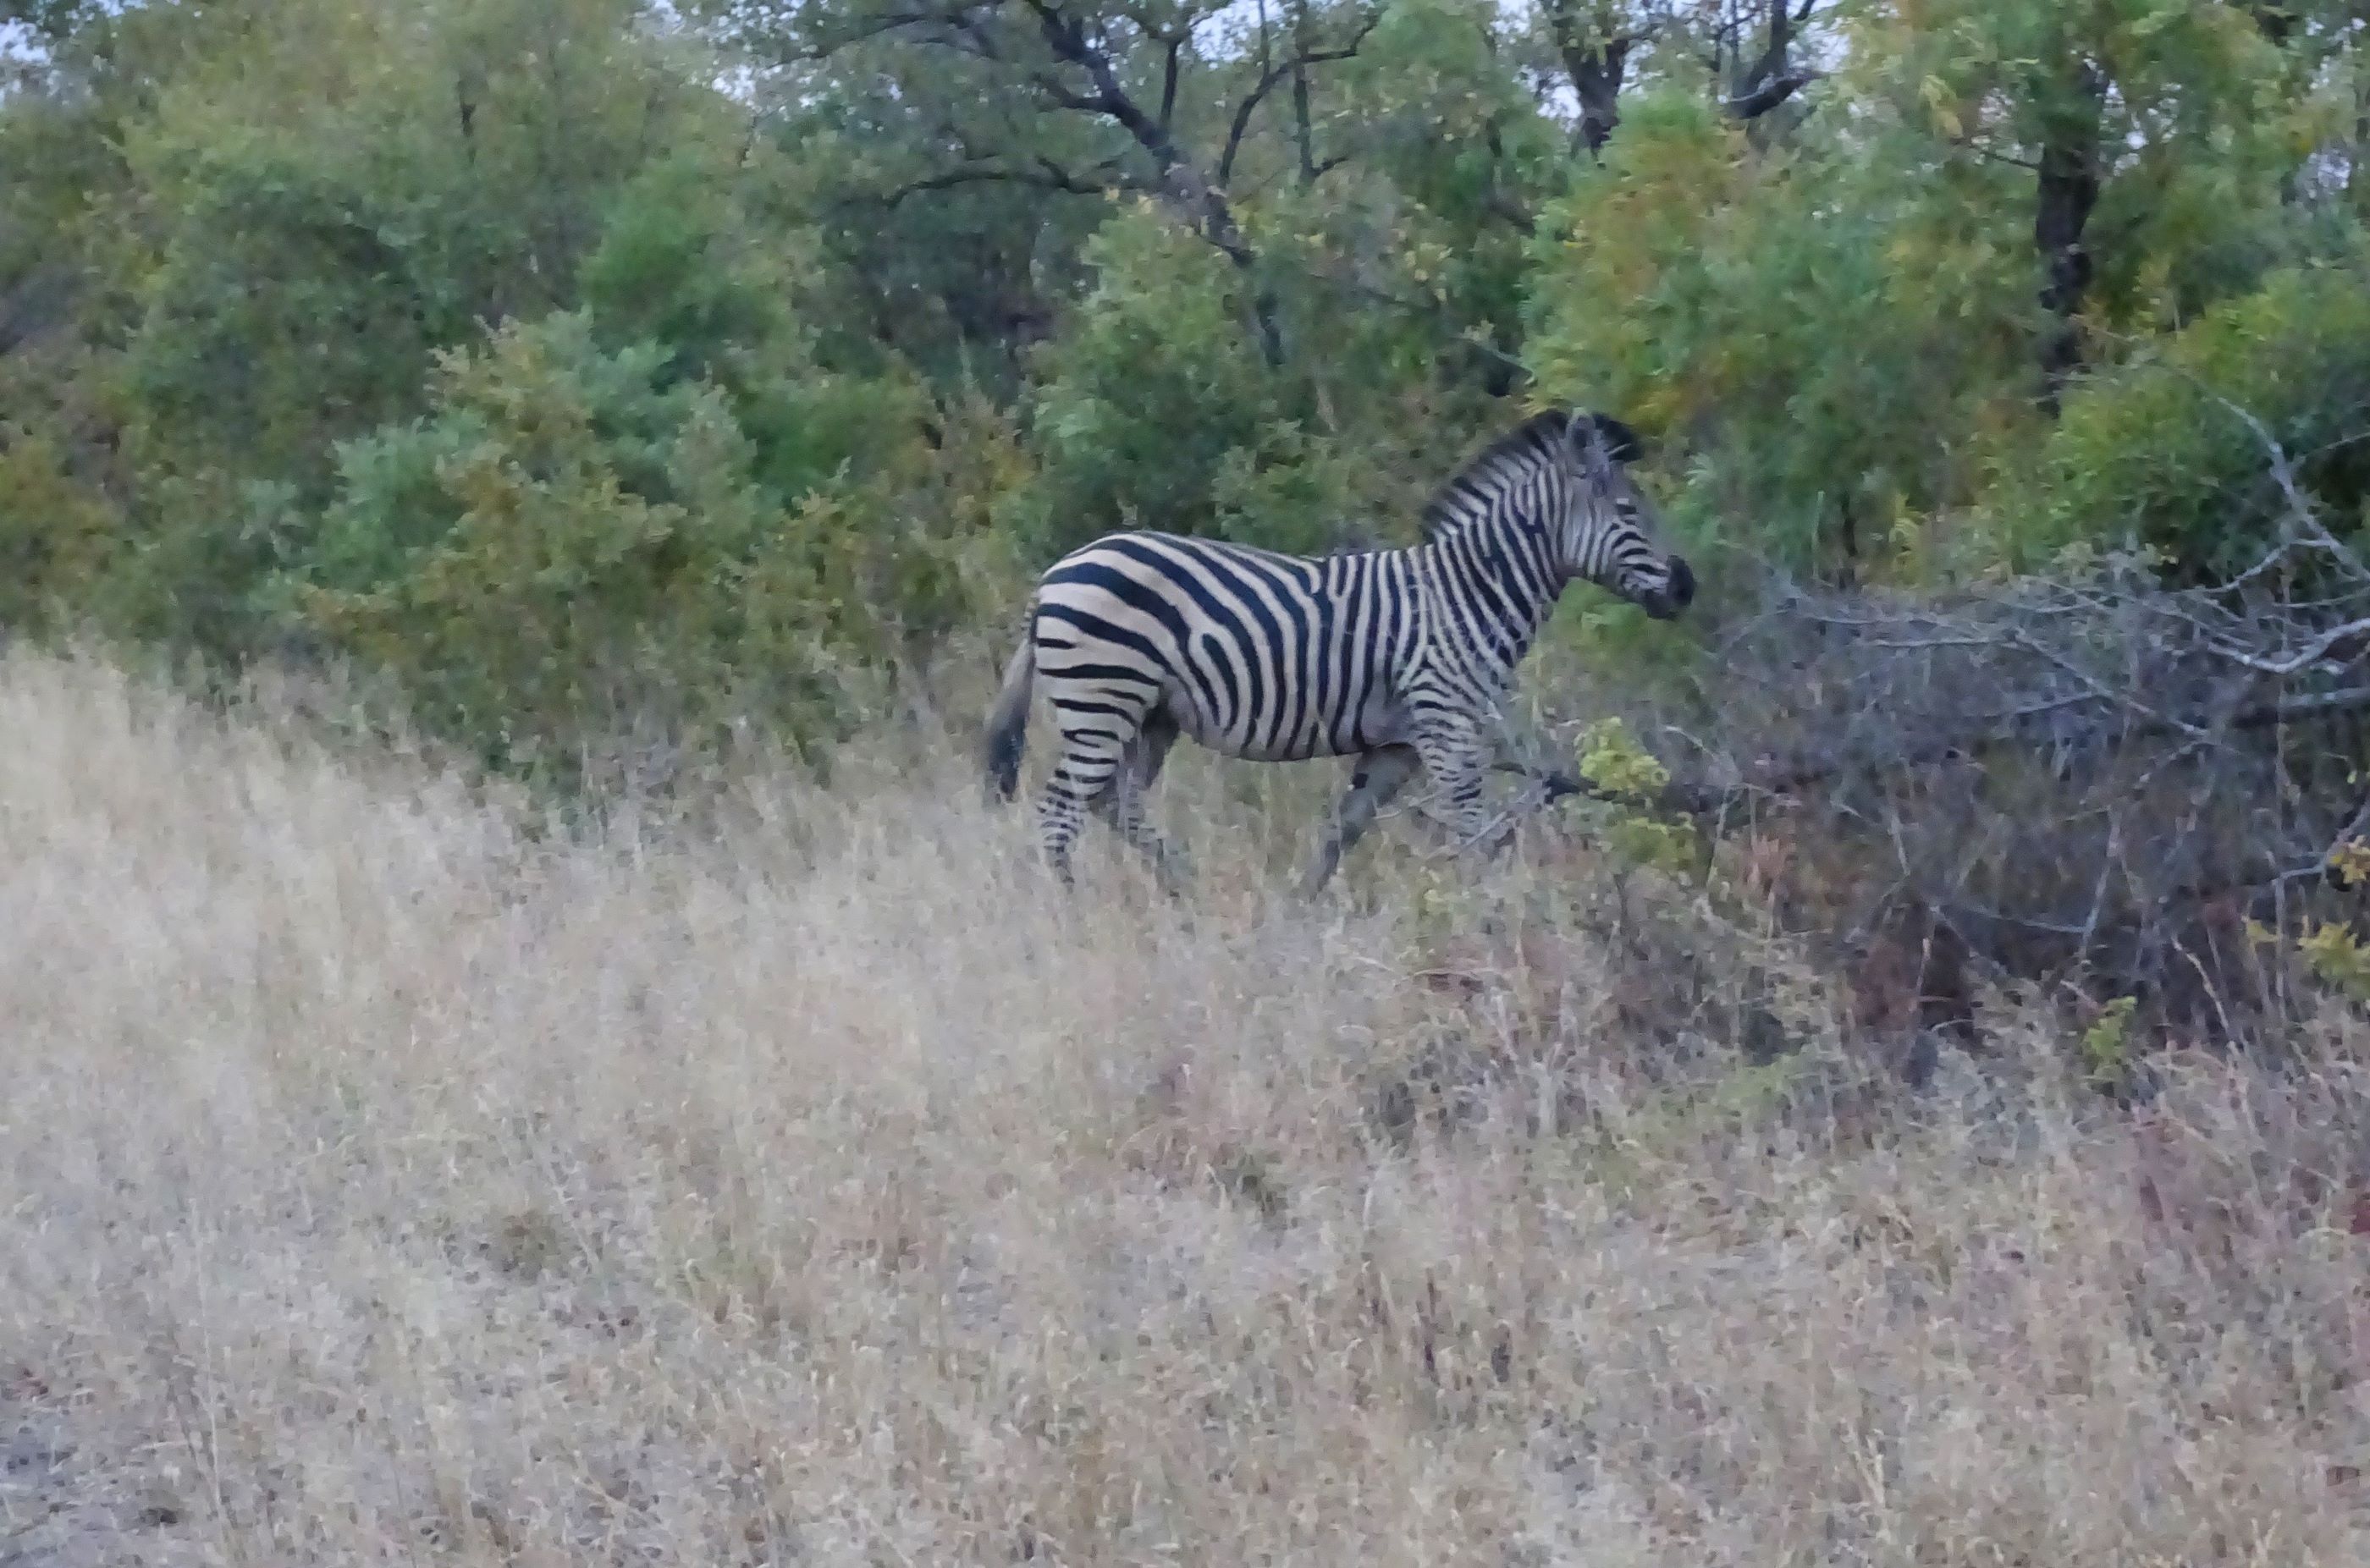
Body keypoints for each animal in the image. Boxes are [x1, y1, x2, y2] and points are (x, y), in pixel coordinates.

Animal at [985, 407, 1706, 895]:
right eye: (1627, 510)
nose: (1686, 587)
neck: (1466, 592)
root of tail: (1053, 576)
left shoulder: (1398, 742)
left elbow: (1343, 830)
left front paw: (1298, 912)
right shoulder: (1447, 727)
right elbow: (1477, 832)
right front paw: (1500, 919)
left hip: (1150, 716)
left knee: (1116, 802)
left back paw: (1185, 891)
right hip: (1101, 701)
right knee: (1061, 811)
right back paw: (1074, 912)